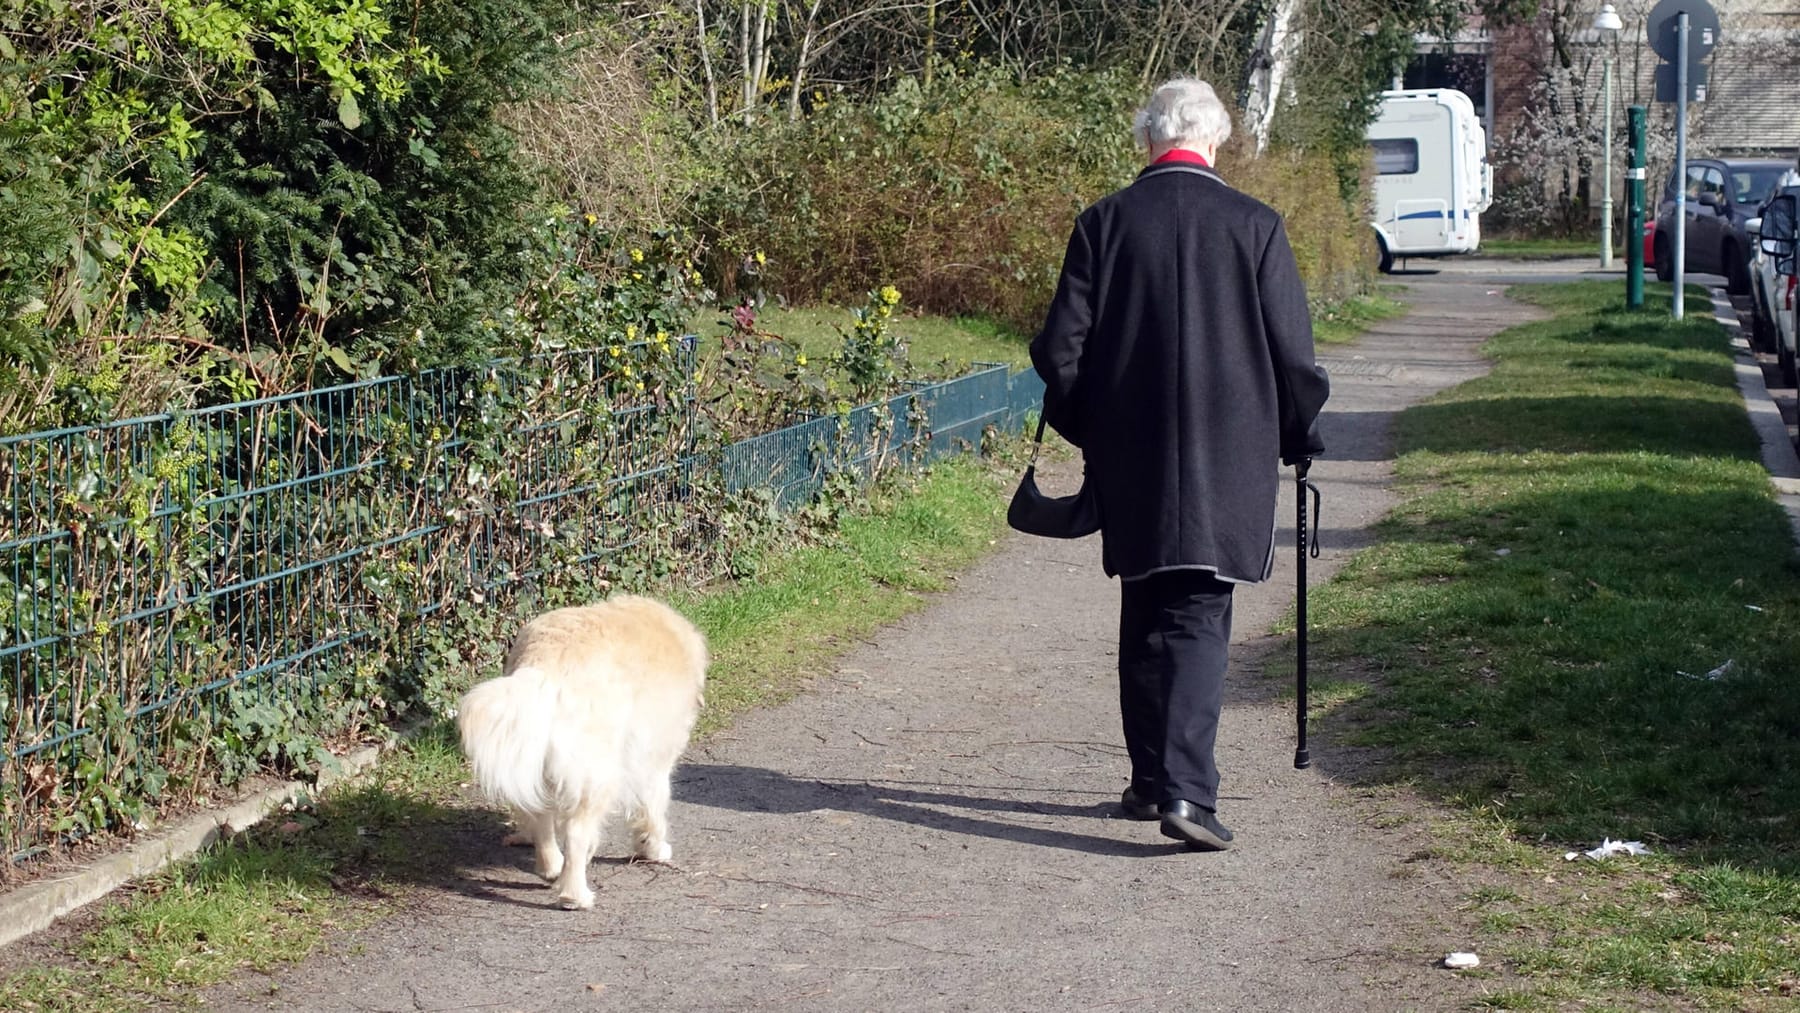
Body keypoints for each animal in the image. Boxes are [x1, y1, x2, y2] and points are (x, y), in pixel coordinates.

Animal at [453, 593, 705, 910]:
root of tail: (543, 666)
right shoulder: (652, 758)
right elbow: (653, 806)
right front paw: (653, 848)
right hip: (597, 770)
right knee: (575, 832)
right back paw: (575, 896)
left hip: (541, 762)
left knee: (542, 820)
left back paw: (551, 868)